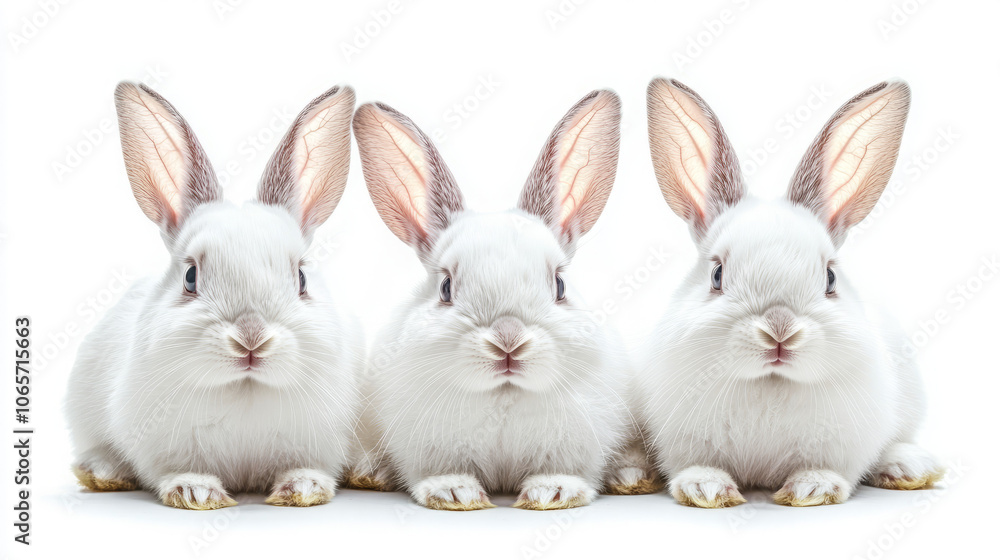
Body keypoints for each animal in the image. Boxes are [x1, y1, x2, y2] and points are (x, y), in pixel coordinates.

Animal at [64, 82, 363, 509]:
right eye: (190, 277)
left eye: (302, 278)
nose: (251, 338)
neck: (244, 391)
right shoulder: (162, 446)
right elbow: (177, 470)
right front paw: (196, 491)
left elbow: (308, 467)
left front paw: (303, 488)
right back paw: (102, 472)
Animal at [349, 89, 631, 510]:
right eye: (446, 287)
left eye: (560, 285)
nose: (508, 340)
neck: (503, 396)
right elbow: (439, 472)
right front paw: (454, 492)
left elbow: (564, 471)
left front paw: (553, 492)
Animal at [622, 78, 943, 508]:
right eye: (717, 275)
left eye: (830, 279)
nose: (779, 330)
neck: (769, 383)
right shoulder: (681, 440)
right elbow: (695, 465)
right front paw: (705, 488)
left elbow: (829, 468)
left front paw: (814, 487)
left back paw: (910, 466)